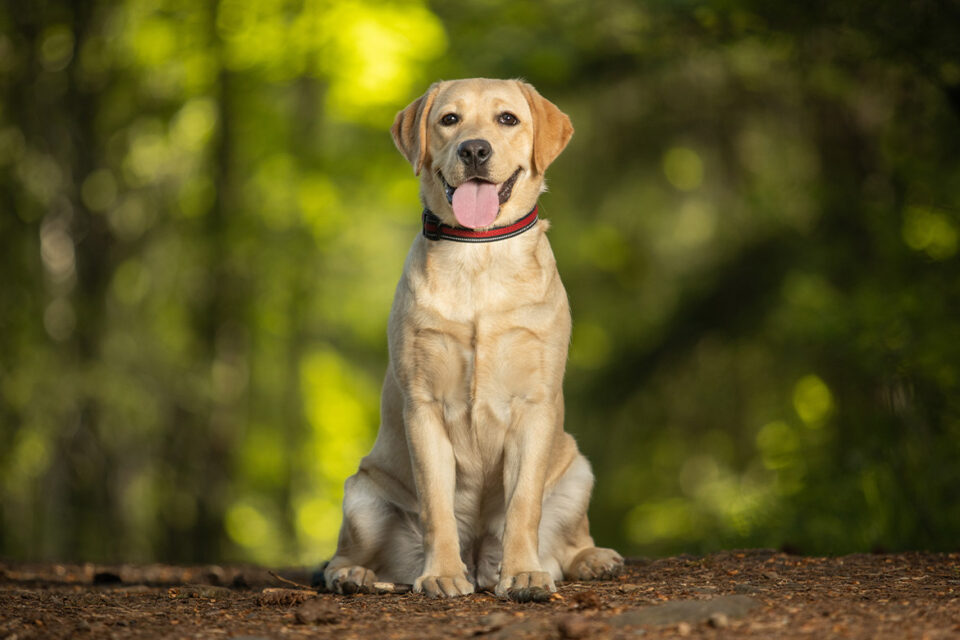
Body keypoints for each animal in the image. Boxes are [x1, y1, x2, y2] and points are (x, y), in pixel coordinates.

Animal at [324, 77, 624, 596]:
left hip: (577, 472)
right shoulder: (423, 407)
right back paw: (353, 575)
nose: (475, 149)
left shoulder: (534, 406)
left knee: (569, 542)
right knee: (351, 555)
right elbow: (436, 506)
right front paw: (442, 573)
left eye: (507, 119)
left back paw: (591, 559)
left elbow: (524, 503)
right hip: (361, 494)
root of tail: (480, 555)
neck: (478, 250)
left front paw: (523, 573)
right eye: (450, 119)